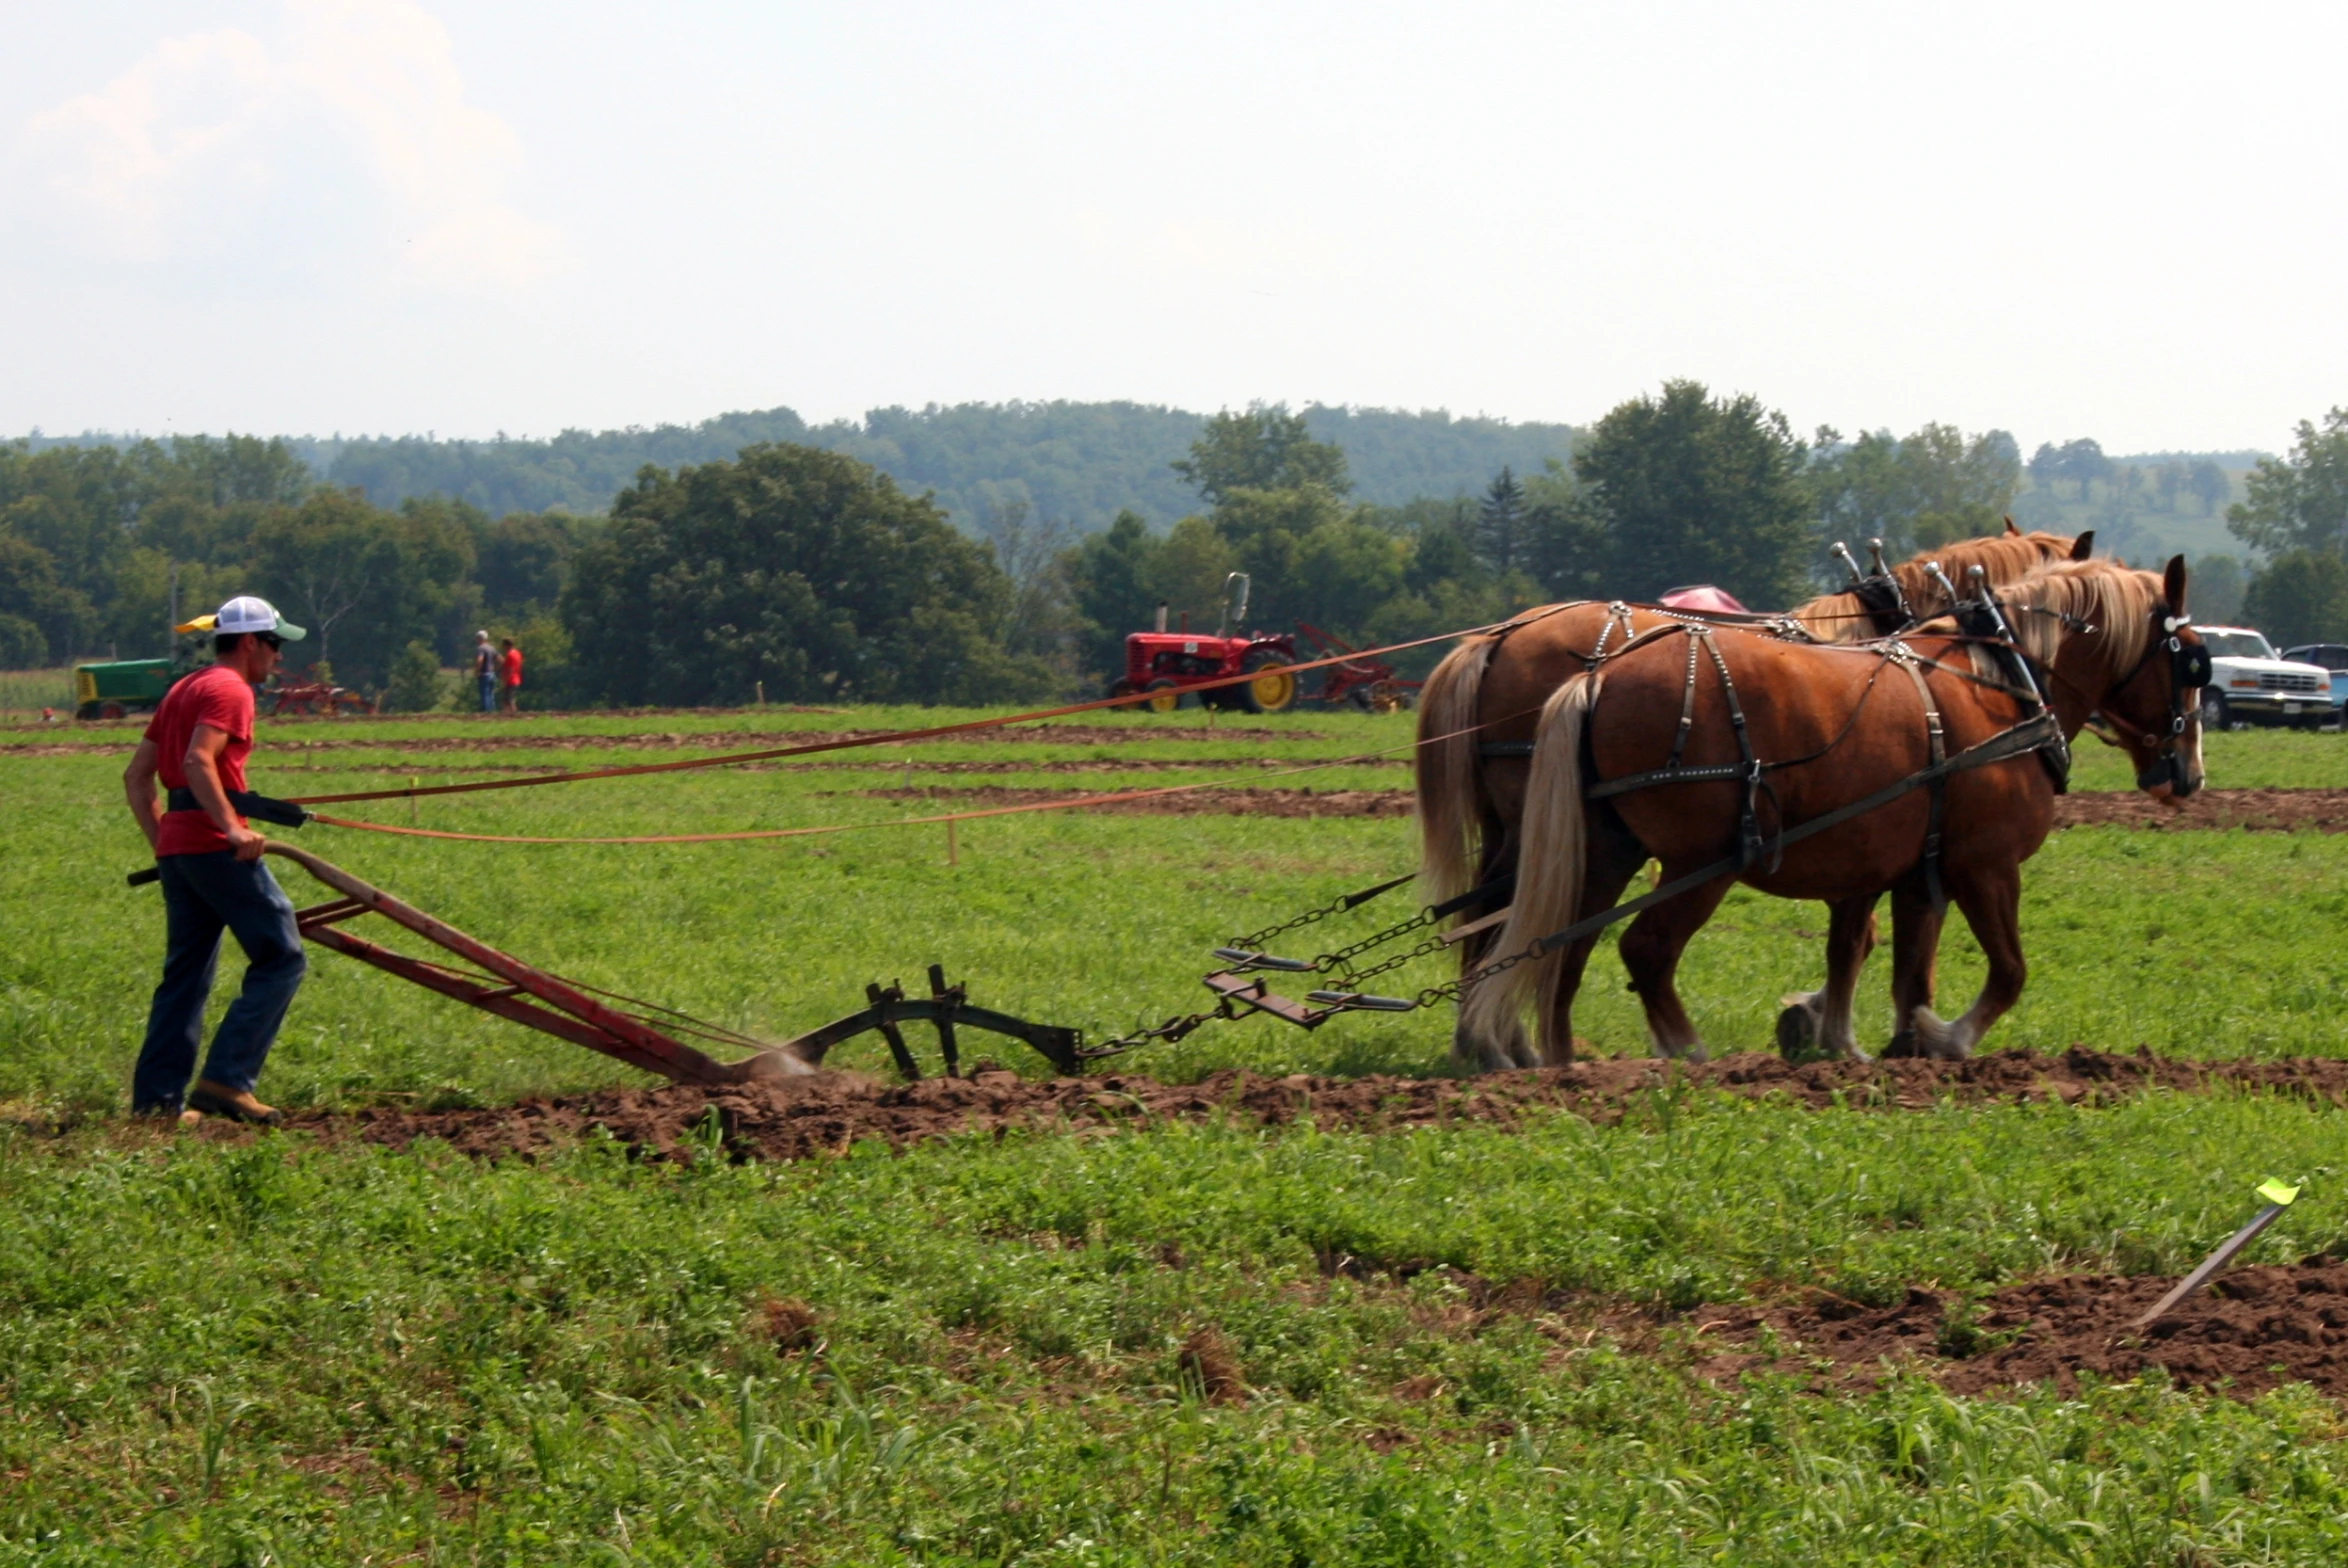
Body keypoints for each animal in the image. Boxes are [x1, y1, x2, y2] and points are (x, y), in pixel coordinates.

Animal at [1446, 556, 2197, 1070]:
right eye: (2193, 660)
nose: (2187, 773)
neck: (2001, 685)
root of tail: (1596, 677)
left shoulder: (1897, 869)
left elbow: (1886, 961)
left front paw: (1873, 1044)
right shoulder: (1983, 865)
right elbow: (2005, 971)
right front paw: (1943, 1037)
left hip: (1605, 848)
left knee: (1557, 943)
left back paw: (1558, 1061)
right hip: (1700, 860)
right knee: (1641, 948)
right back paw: (1683, 1053)